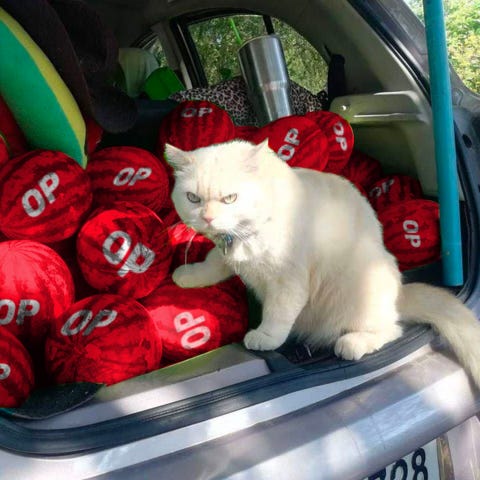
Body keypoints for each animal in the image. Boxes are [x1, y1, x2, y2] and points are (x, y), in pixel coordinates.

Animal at [164, 138, 480, 387]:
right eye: (193, 198)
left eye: (230, 198)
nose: (207, 218)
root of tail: (399, 295)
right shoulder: (226, 252)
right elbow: (212, 264)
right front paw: (187, 276)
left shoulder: (288, 281)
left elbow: (278, 314)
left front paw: (265, 337)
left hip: (357, 293)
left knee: (392, 328)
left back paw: (353, 343)